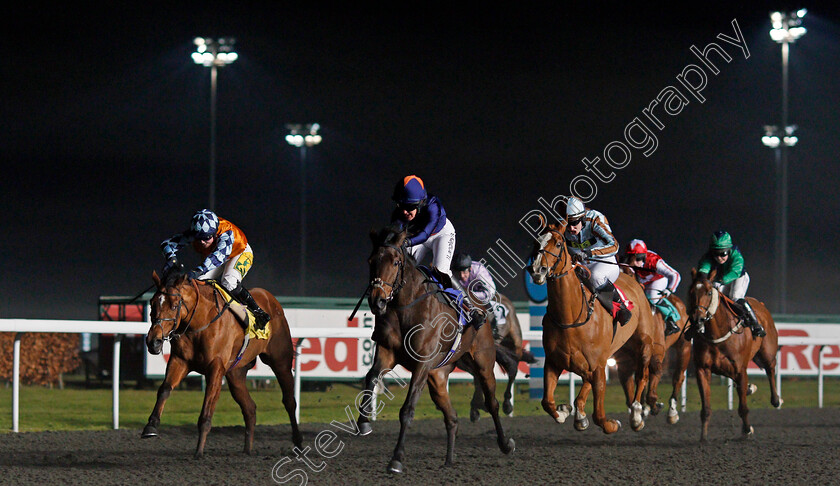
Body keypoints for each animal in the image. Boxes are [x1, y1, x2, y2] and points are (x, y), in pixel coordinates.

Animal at [141, 272, 302, 458]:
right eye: (152, 303)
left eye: (174, 306)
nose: (153, 341)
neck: (200, 322)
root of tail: (271, 299)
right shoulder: (179, 360)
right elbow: (165, 389)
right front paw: (151, 426)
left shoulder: (215, 368)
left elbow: (206, 411)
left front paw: (199, 451)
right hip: (235, 374)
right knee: (250, 408)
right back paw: (247, 449)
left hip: (280, 362)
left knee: (289, 401)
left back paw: (298, 443)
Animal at [358, 226, 516, 472]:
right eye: (371, 260)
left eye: (395, 262)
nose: (378, 301)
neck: (407, 307)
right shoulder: (387, 352)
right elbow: (371, 376)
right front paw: (364, 423)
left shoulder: (422, 364)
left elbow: (407, 409)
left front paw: (397, 459)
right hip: (438, 377)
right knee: (452, 417)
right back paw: (449, 460)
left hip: (483, 363)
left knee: (492, 403)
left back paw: (505, 443)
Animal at [528, 220, 660, 432]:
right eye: (535, 242)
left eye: (558, 243)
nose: (537, 270)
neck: (571, 317)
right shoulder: (554, 362)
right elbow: (547, 402)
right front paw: (565, 411)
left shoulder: (598, 365)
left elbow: (599, 415)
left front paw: (612, 423)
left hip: (644, 343)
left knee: (642, 375)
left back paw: (636, 415)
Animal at [684, 270, 784, 440]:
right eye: (691, 292)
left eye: (709, 292)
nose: (698, 319)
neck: (717, 333)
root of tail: (760, 304)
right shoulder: (702, 369)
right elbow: (706, 408)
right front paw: (703, 437)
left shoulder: (740, 370)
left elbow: (743, 408)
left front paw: (747, 430)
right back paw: (750, 388)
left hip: (767, 352)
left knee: (770, 369)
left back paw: (776, 399)